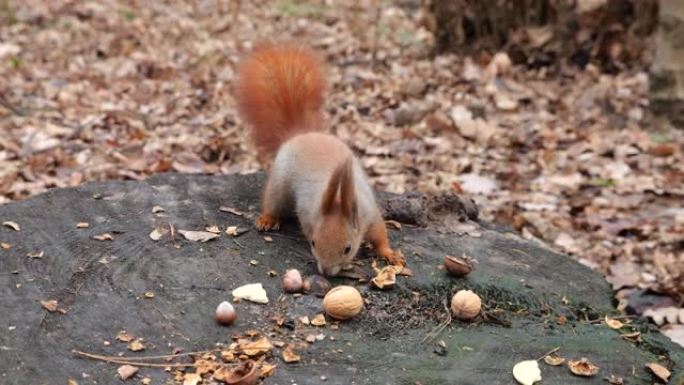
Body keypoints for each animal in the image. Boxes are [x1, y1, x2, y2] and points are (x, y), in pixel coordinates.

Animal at [236, 43, 406, 274]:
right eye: (314, 243)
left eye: (347, 248)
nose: (325, 271)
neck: (339, 199)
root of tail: (302, 134)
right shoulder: (307, 214)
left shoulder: (370, 214)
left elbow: (380, 236)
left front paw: (389, 253)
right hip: (280, 182)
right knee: (272, 201)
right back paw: (267, 219)